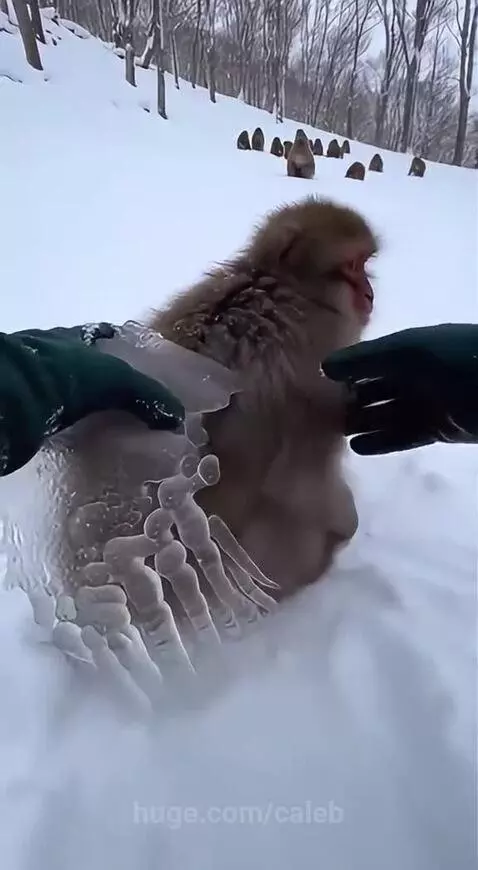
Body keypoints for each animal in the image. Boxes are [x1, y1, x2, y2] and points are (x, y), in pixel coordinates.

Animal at [150, 197, 378, 599]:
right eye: (353, 266)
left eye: (365, 264)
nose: (369, 294)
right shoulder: (322, 348)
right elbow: (304, 477)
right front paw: (344, 525)